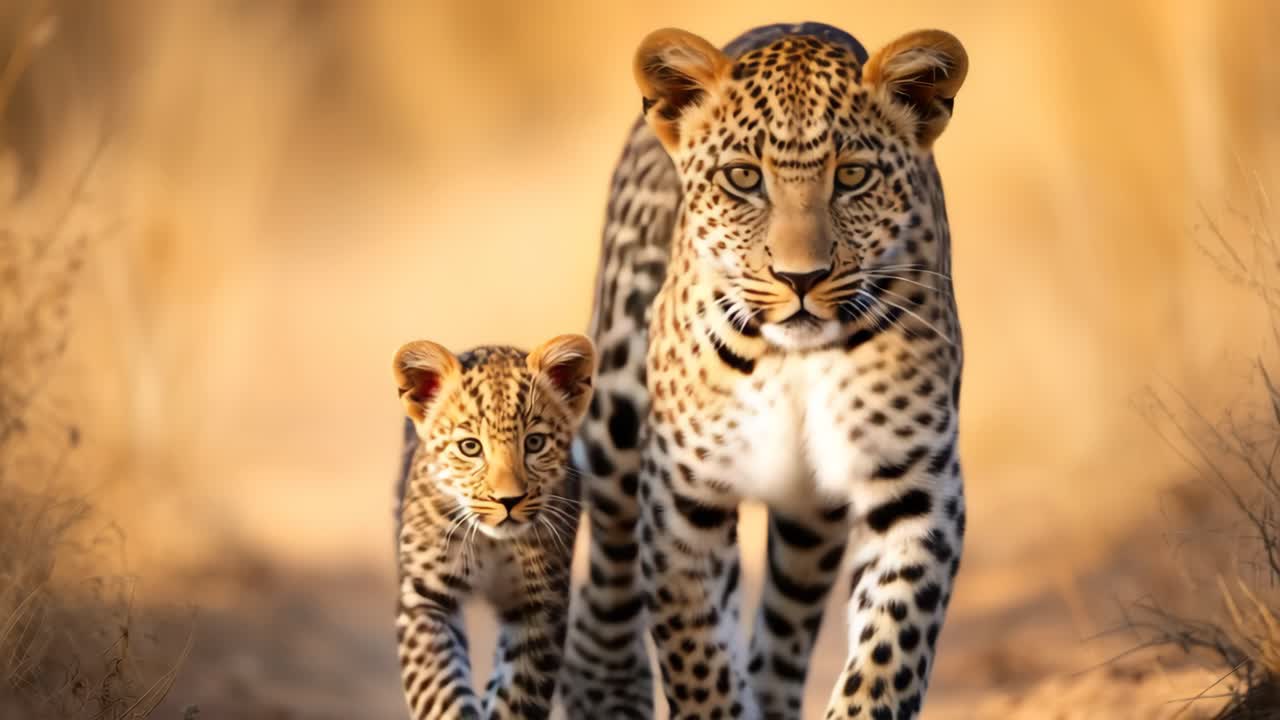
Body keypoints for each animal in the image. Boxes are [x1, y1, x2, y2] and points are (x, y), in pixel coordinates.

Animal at [392, 335, 595, 720]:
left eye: (535, 443)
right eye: (470, 447)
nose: (508, 500)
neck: (491, 543)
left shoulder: (540, 606)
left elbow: (517, 695)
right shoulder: (426, 598)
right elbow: (438, 689)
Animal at [559, 22, 969, 720]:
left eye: (852, 176)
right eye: (743, 178)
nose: (800, 278)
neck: (792, 361)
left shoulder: (914, 487)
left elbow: (888, 648)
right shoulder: (683, 499)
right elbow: (697, 656)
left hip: (810, 519)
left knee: (784, 630)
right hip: (614, 419)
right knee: (608, 570)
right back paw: (603, 689)